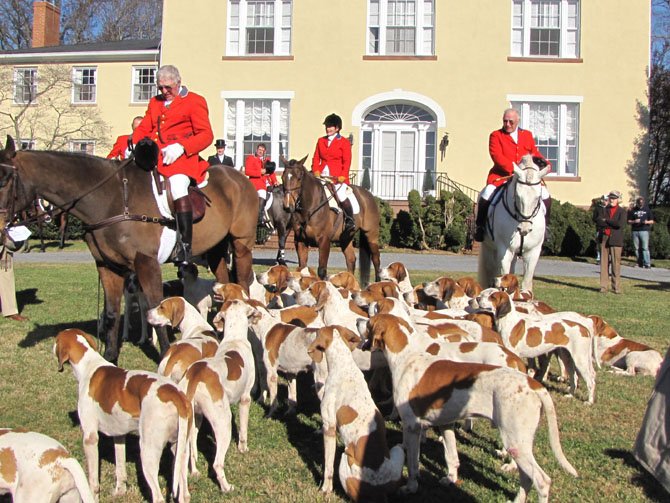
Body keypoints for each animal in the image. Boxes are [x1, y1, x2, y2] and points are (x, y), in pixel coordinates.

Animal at [0, 135, 258, 362]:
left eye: (5, 179)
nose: (4, 231)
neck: (112, 199)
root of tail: (238, 177)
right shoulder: (107, 266)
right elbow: (112, 313)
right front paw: (110, 357)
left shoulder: (146, 263)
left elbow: (155, 309)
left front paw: (165, 356)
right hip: (216, 249)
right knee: (225, 282)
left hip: (241, 244)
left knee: (243, 284)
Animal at [280, 156, 380, 286]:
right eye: (283, 177)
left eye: (299, 177)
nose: (288, 206)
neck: (309, 207)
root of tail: (368, 194)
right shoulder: (301, 241)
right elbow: (302, 268)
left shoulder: (324, 241)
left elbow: (322, 270)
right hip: (345, 237)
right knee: (351, 260)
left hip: (371, 235)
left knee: (376, 259)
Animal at [484, 156, 552, 294]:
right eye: (517, 195)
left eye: (538, 197)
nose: (524, 229)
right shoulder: (504, 250)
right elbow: (503, 278)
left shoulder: (533, 252)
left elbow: (526, 283)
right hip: (490, 249)